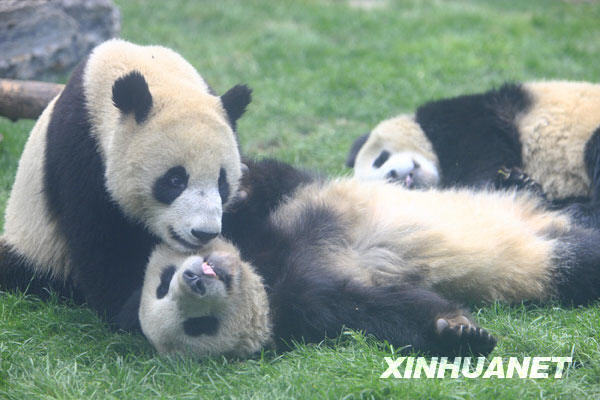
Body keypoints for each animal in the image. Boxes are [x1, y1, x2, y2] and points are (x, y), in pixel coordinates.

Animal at [0, 39, 252, 330]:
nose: (204, 233)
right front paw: (132, 308)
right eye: (175, 180)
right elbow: (103, 244)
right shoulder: (81, 151)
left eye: (222, 183)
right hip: (38, 246)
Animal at [138, 158, 600, 358]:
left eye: (163, 279)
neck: (261, 266)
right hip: (543, 256)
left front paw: (240, 184)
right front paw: (459, 332)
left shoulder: (280, 211)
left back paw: (521, 180)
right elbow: (379, 308)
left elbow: (276, 179)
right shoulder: (304, 302)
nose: (194, 279)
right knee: (579, 260)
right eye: (197, 326)